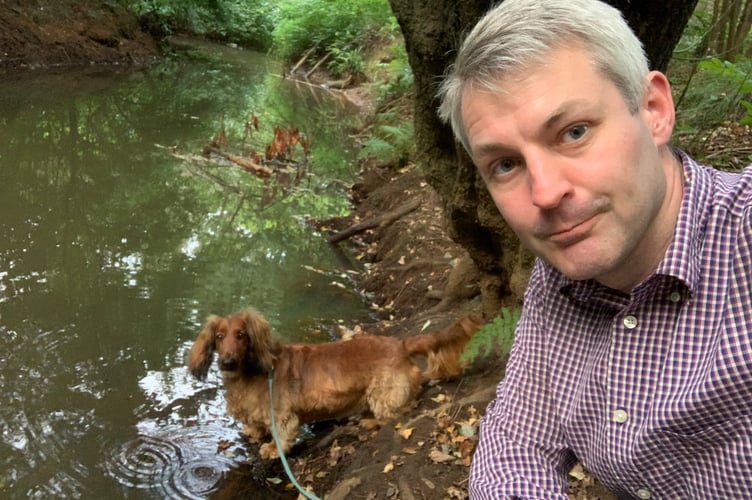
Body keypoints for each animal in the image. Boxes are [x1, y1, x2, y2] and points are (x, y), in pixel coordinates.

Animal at [188, 306, 482, 458]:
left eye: (241, 335)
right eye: (219, 337)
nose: (227, 362)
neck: (253, 372)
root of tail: (400, 344)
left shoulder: (282, 414)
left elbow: (282, 434)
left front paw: (272, 448)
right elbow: (256, 424)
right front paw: (253, 432)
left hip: (384, 393)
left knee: (397, 413)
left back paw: (370, 422)